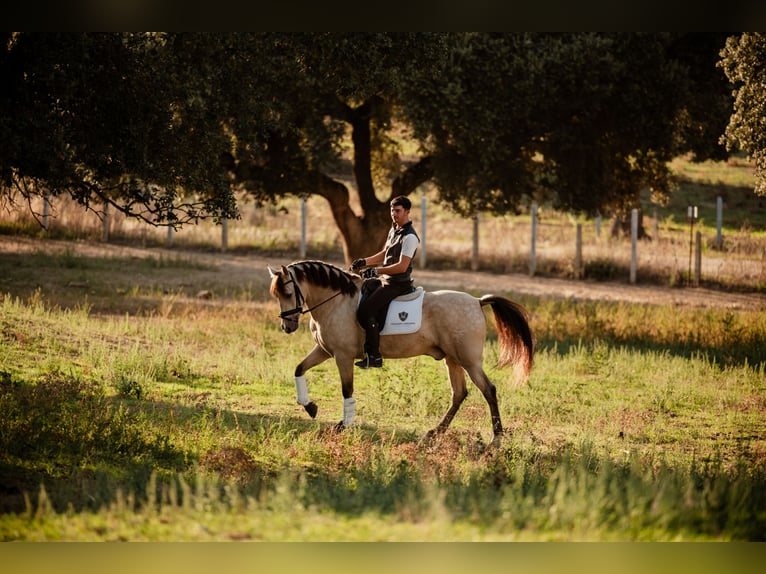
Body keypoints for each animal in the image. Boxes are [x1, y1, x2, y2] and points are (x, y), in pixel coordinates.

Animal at [268, 260, 536, 446]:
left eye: (289, 293)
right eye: (277, 295)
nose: (287, 326)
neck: (336, 302)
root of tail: (477, 301)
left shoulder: (342, 356)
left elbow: (347, 390)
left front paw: (344, 424)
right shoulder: (324, 350)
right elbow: (299, 368)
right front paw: (310, 407)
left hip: (469, 361)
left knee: (488, 390)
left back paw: (496, 439)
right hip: (453, 360)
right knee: (459, 393)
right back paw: (434, 433)